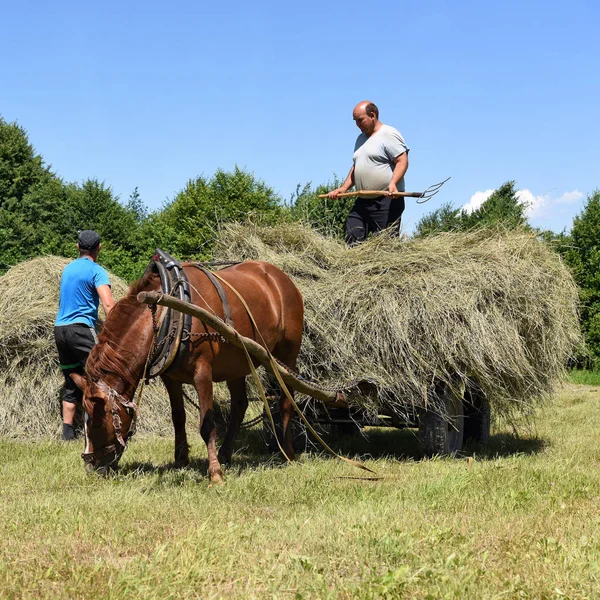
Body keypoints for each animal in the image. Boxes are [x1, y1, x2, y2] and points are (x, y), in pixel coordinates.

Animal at [71, 262, 304, 482]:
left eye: (97, 422)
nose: (91, 466)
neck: (168, 313)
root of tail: (281, 277)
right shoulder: (170, 378)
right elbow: (178, 417)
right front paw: (181, 460)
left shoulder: (203, 374)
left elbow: (207, 425)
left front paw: (215, 473)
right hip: (237, 362)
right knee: (240, 405)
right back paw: (226, 454)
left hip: (287, 356)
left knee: (286, 401)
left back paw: (287, 453)